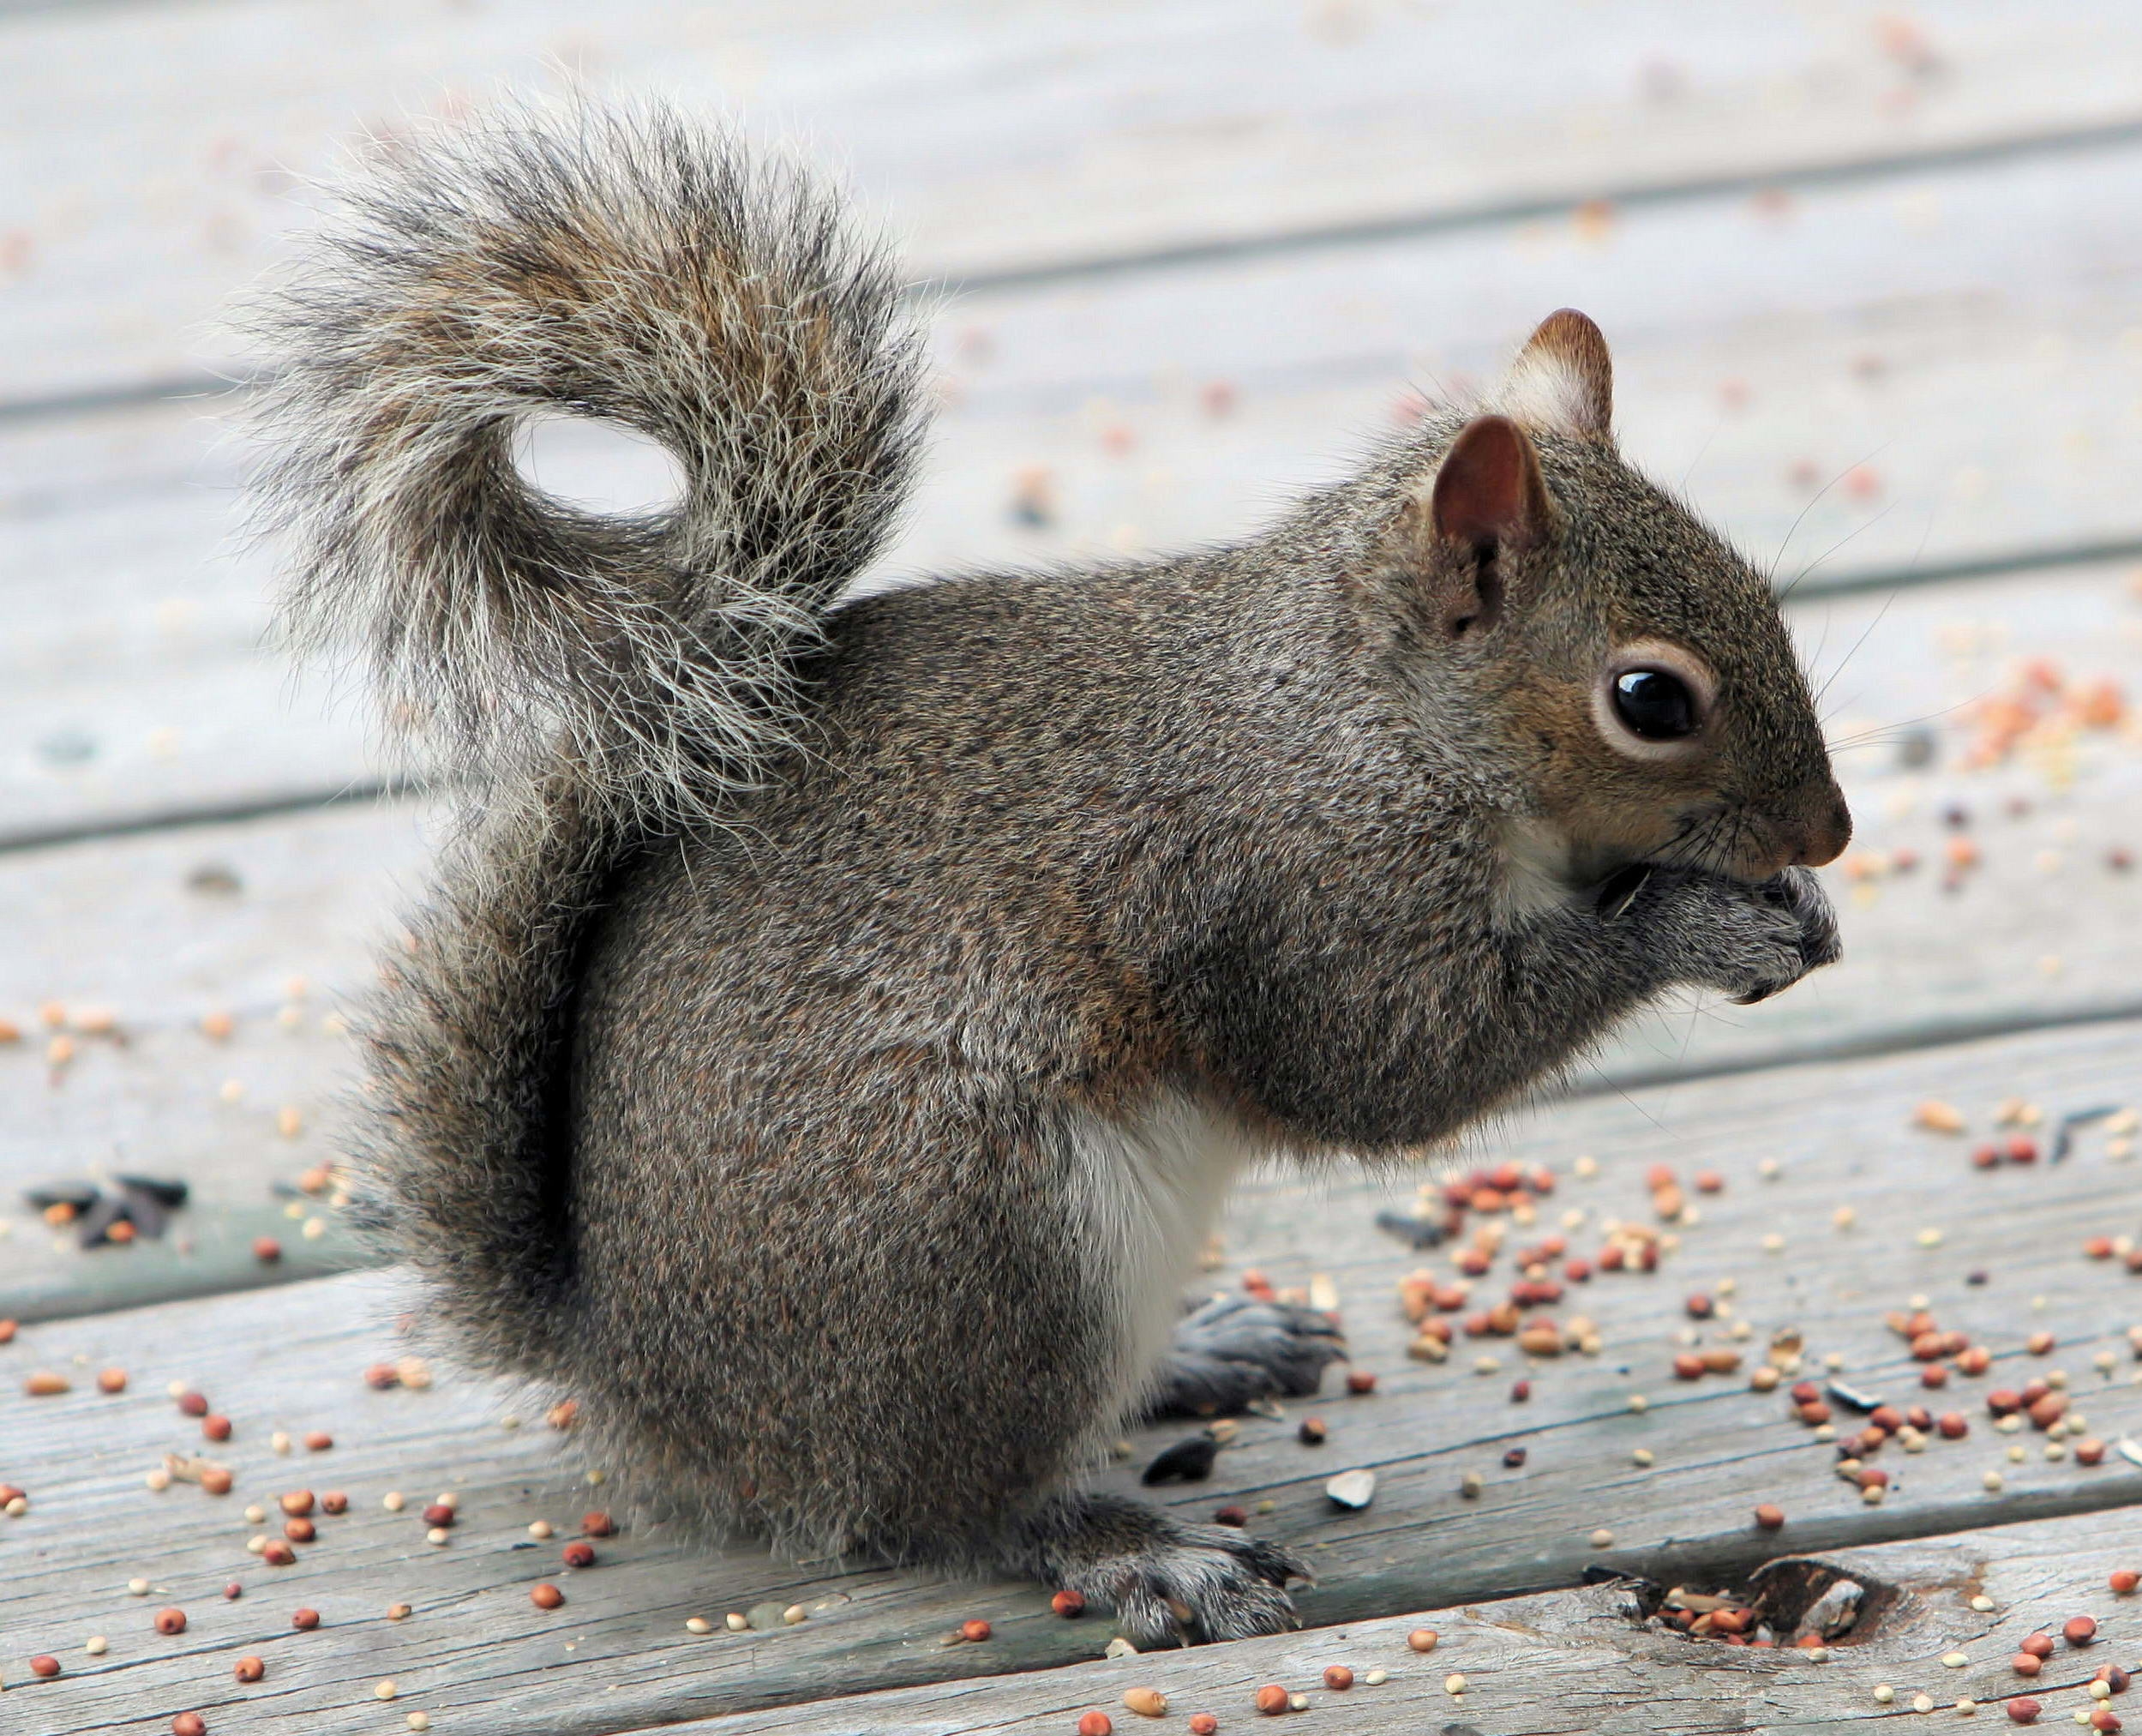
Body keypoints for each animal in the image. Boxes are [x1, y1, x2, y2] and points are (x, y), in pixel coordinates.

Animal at [246, 101, 1859, 1646]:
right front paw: (1699, 928)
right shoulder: (1296, 880)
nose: (1828, 833)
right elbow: (1388, 1065)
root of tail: (646, 1385)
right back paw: (1137, 1547)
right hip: (981, 1243)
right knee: (945, 1504)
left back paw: (1209, 1350)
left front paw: (1795, 912)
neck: (1373, 712)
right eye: (1647, 700)